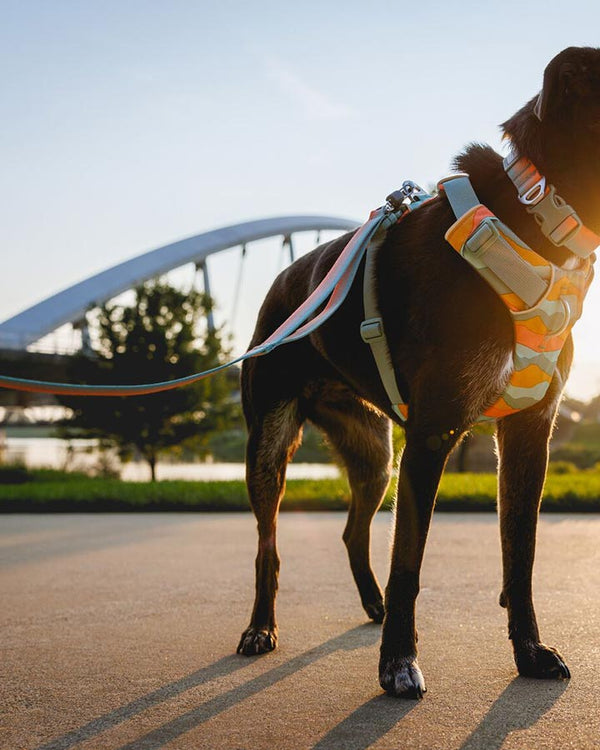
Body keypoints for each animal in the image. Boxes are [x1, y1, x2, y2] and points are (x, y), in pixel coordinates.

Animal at [234, 48, 600, 700]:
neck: (536, 218)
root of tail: (282, 286)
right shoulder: (431, 436)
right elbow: (409, 561)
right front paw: (397, 663)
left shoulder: (529, 432)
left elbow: (521, 555)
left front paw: (529, 653)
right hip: (272, 443)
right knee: (267, 545)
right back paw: (260, 629)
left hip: (374, 452)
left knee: (353, 531)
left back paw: (372, 605)